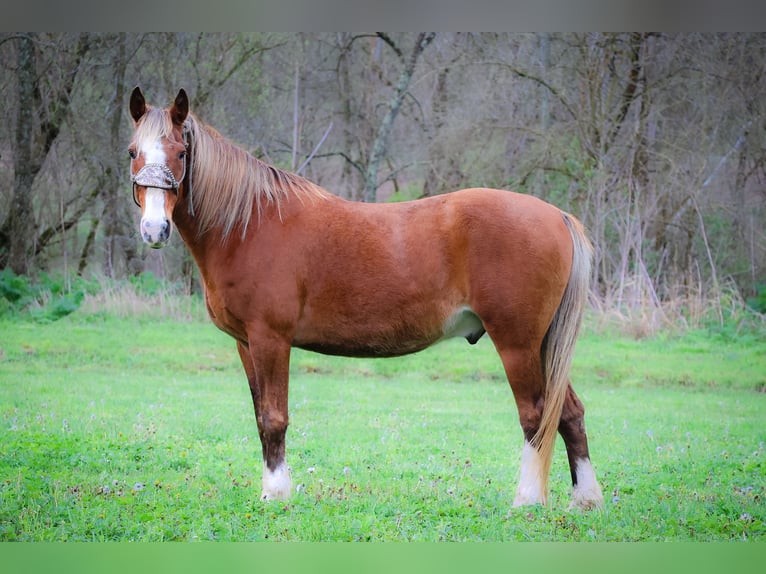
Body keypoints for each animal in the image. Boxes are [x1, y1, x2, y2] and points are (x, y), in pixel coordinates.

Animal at [127, 88, 608, 510]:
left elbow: (275, 417)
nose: (154, 230)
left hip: (517, 343)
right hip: (542, 344)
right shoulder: (246, 344)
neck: (249, 224)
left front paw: (277, 495)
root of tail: (557, 215)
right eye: (133, 151)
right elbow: (261, 417)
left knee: (535, 416)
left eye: (181, 153)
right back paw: (586, 500)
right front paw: (271, 489)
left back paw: (527, 501)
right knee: (569, 414)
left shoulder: (270, 339)